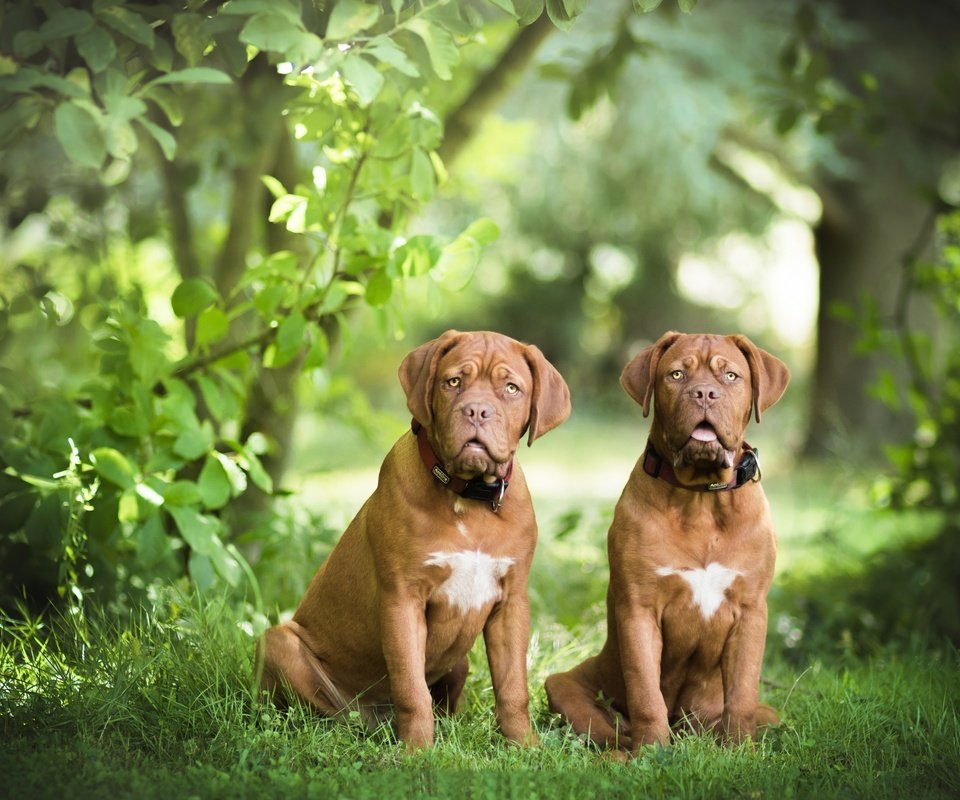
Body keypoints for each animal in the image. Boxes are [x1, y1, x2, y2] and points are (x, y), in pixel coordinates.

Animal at [255, 330, 568, 752]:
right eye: (453, 382)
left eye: (511, 388)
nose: (477, 411)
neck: (468, 499)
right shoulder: (402, 599)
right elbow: (410, 686)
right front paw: (417, 751)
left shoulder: (511, 603)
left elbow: (512, 686)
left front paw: (525, 745)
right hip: (279, 643)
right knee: (333, 713)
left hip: (458, 660)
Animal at [544, 328, 792, 752]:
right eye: (677, 375)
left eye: (731, 376)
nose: (705, 393)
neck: (701, 498)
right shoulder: (639, 609)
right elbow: (645, 690)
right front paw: (652, 749)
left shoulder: (750, 611)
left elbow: (742, 691)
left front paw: (739, 751)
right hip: (561, 685)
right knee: (604, 732)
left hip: (761, 712)